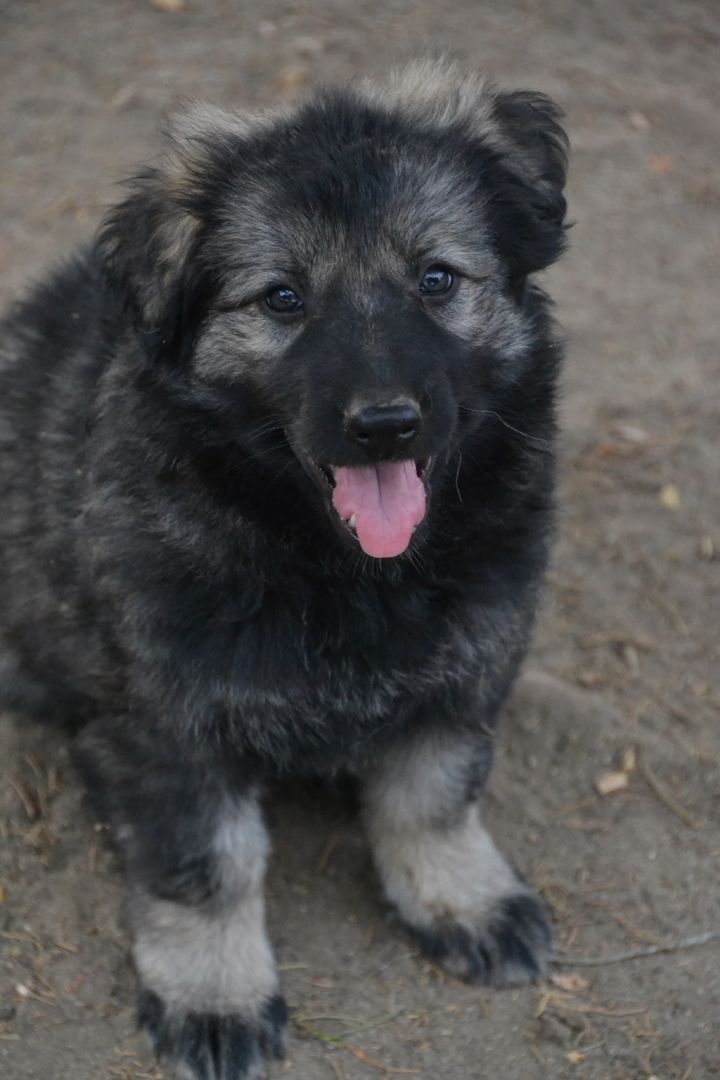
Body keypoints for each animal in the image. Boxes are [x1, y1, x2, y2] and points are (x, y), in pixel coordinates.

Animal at [0, 60, 568, 1079]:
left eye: (436, 279)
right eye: (282, 300)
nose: (385, 424)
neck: (347, 571)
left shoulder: (470, 659)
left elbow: (436, 792)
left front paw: (462, 896)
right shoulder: (170, 723)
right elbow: (207, 867)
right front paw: (216, 994)